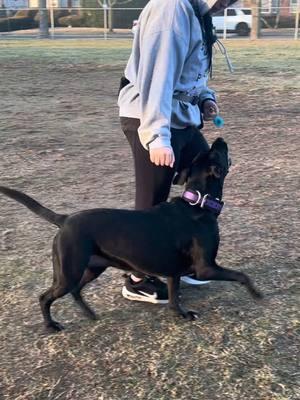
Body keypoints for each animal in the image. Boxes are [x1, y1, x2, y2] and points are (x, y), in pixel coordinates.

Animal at [0, 138, 262, 332]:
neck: (197, 203)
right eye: (215, 152)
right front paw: (256, 293)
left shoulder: (174, 271)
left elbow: (174, 297)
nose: (219, 139)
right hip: (68, 272)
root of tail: (64, 219)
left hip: (92, 268)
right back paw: (51, 325)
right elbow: (242, 275)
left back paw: (90, 314)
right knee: (45, 297)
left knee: (76, 291)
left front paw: (180, 314)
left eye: (209, 152)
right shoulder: (206, 267)